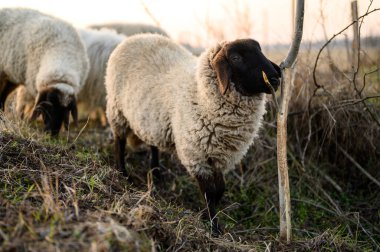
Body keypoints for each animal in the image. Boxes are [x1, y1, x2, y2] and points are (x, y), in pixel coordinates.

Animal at [105, 33, 280, 234]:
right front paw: (213, 226)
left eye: (260, 50)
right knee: (119, 143)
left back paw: (156, 173)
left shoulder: (219, 156)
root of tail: (136, 37)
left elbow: (219, 189)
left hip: (151, 120)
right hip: (117, 110)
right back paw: (122, 174)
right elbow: (209, 192)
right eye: (236, 58)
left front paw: (207, 216)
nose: (275, 79)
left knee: (152, 145)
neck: (200, 95)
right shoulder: (195, 155)